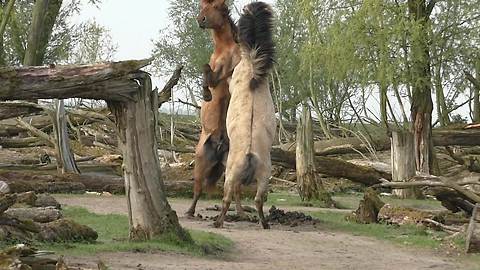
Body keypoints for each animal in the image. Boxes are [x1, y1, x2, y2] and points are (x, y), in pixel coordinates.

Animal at [186, 0, 242, 217]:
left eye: (218, 6)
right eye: (202, 5)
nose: (200, 20)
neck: (225, 49)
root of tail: (219, 146)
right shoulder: (215, 76)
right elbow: (205, 70)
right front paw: (206, 95)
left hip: (230, 167)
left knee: (233, 191)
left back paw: (242, 214)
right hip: (200, 163)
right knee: (198, 188)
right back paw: (190, 211)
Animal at [215, 2, 278, 230]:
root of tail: (250, 154)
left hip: (230, 175)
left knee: (227, 198)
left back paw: (218, 222)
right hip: (265, 177)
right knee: (259, 200)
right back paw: (265, 224)